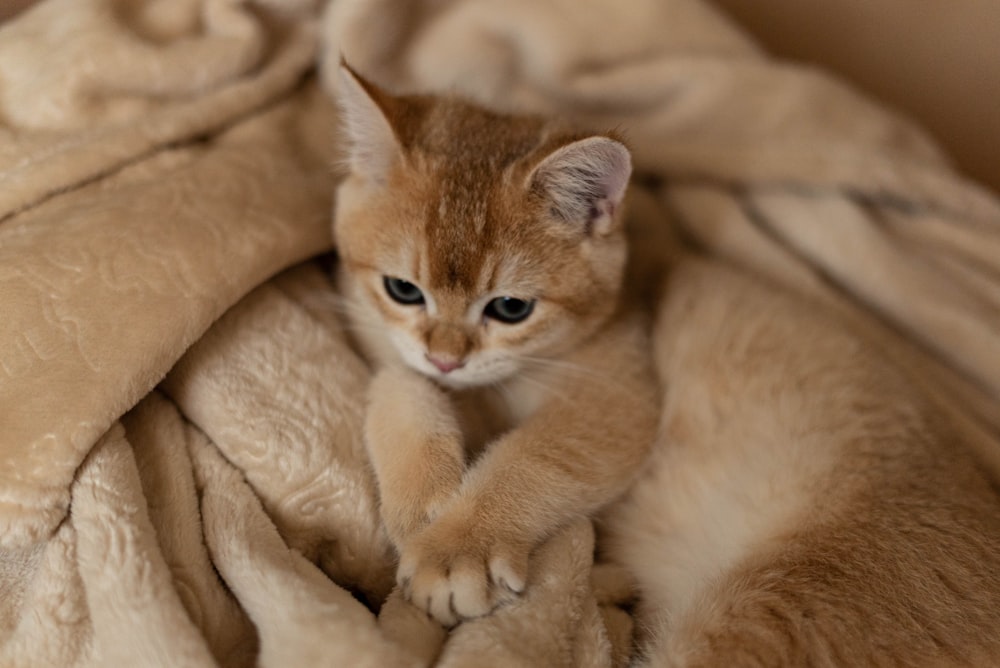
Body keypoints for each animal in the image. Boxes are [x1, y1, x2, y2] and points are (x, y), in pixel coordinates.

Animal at [332, 65, 660, 628]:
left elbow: (534, 456)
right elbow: (400, 387)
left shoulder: (616, 396)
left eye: (510, 308)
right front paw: (424, 502)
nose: (446, 359)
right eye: (403, 290)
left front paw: (458, 547)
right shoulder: (389, 348)